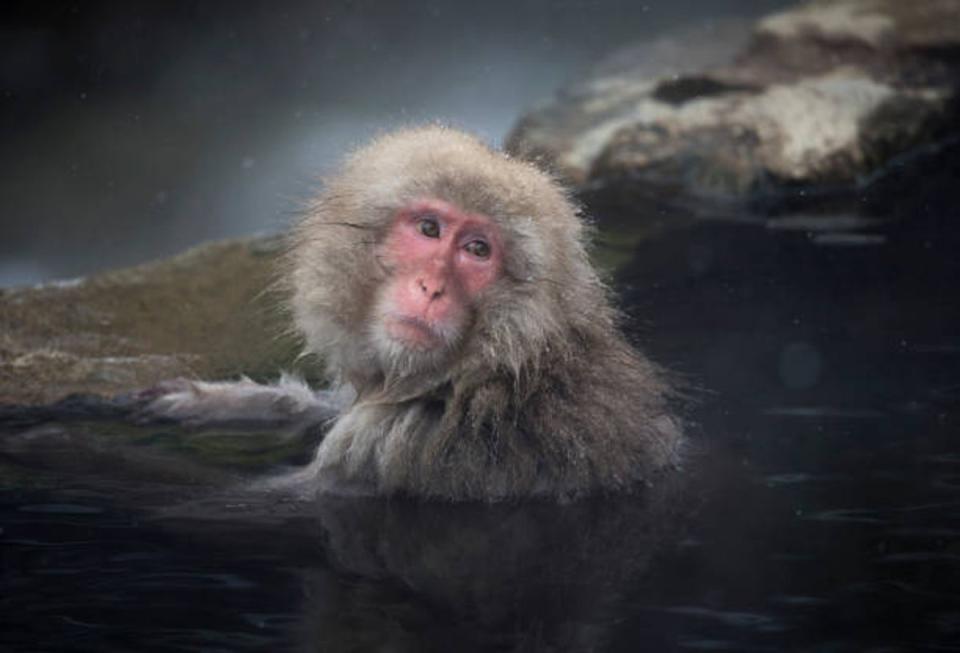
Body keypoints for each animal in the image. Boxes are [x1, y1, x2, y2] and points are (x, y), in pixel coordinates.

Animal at [146, 127, 680, 502]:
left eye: (477, 250)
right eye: (428, 228)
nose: (431, 287)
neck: (481, 372)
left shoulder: (398, 443)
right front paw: (223, 401)